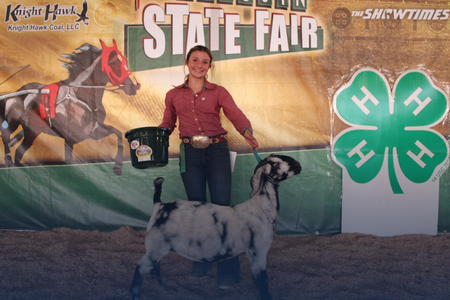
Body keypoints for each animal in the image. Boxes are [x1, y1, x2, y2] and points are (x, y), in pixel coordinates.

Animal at [128, 154, 300, 298]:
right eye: (277, 163)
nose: (298, 165)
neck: (260, 206)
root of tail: (159, 205)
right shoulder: (258, 252)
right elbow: (263, 282)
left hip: (157, 248)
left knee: (154, 266)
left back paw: (159, 283)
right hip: (155, 245)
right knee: (140, 268)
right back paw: (135, 294)